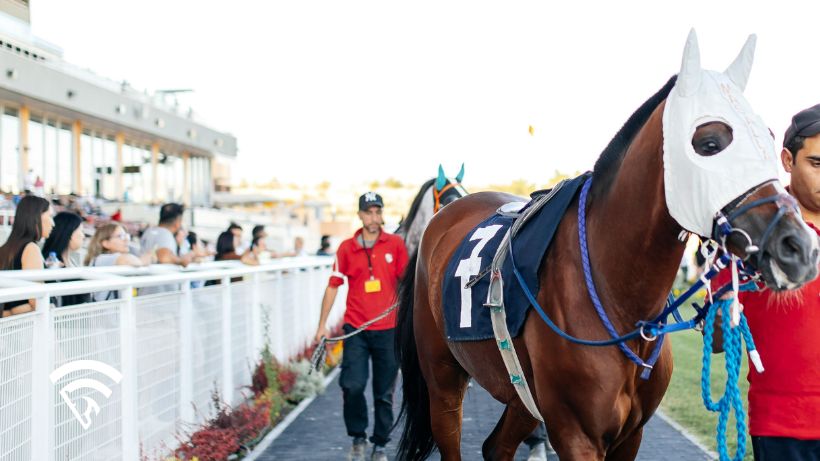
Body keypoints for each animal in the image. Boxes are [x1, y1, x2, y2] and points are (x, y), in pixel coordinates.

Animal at [395, 31, 820, 461]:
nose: (798, 248)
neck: (619, 298)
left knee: (496, 446)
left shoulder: (630, 434)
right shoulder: (575, 434)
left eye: (768, 138)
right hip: (443, 381)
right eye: (710, 142)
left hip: (521, 397)